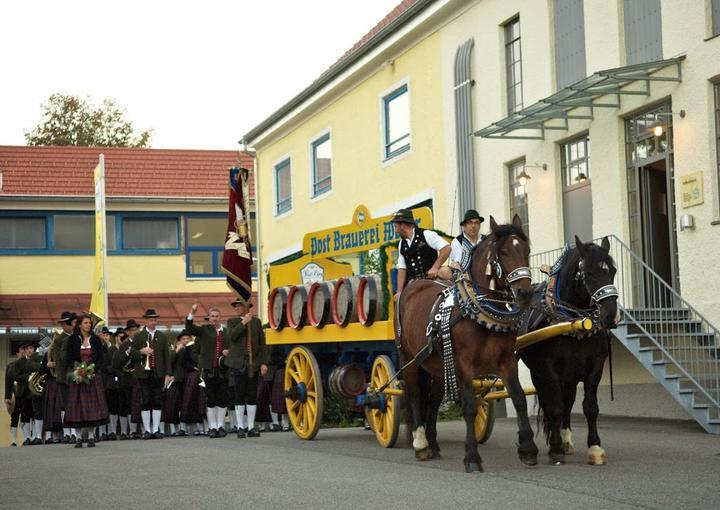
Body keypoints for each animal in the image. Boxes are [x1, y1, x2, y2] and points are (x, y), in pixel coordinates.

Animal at [396, 213, 536, 472]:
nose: (525, 293)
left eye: (527, 249)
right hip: (409, 358)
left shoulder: (507, 362)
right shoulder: (463, 366)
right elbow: (469, 406)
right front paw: (472, 456)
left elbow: (519, 399)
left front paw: (528, 449)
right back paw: (420, 444)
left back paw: (433, 443)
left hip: (438, 366)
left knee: (433, 401)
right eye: (503, 252)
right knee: (414, 395)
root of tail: (411, 286)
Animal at [516, 236, 620, 466]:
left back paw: (566, 440)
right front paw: (555, 450)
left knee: (568, 401)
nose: (612, 316)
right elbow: (554, 407)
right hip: (538, 372)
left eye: (613, 271)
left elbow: (590, 407)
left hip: (570, 375)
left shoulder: (595, 367)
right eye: (588, 273)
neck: (574, 322)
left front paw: (595, 448)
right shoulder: (549, 369)